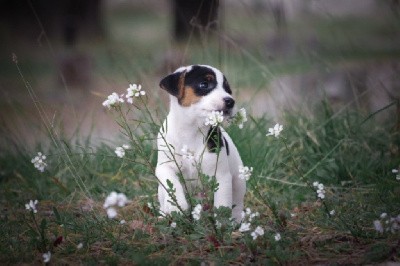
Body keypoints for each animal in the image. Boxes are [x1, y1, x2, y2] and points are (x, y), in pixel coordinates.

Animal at [157, 65, 247, 222]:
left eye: (228, 90)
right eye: (204, 84)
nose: (230, 101)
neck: (191, 130)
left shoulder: (221, 176)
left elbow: (222, 204)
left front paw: (221, 224)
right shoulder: (164, 166)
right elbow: (172, 182)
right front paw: (177, 207)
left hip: (238, 183)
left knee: (237, 205)